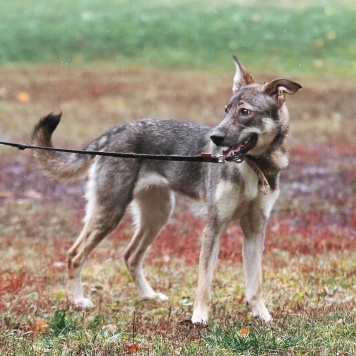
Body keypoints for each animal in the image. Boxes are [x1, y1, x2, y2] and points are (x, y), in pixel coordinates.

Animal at [32, 55, 302, 322]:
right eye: (226, 110)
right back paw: (77, 301)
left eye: (244, 112)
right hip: (110, 213)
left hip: (157, 215)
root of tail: (115, 131)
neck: (253, 167)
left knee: (130, 255)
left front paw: (262, 316)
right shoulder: (214, 226)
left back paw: (148, 296)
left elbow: (254, 284)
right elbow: (204, 282)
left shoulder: (255, 228)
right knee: (75, 255)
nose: (215, 138)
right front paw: (199, 318)